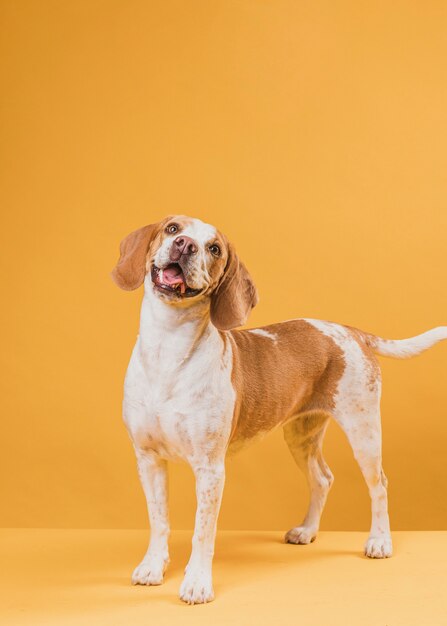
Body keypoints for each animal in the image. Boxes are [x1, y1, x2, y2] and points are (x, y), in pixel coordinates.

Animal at [113, 214, 447, 600]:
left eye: (214, 248)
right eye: (172, 228)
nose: (185, 245)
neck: (167, 350)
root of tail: (350, 330)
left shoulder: (210, 469)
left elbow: (202, 532)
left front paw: (196, 583)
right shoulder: (148, 459)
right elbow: (159, 521)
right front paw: (153, 567)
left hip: (364, 432)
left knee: (379, 484)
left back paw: (379, 541)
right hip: (301, 436)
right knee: (323, 478)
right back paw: (307, 531)